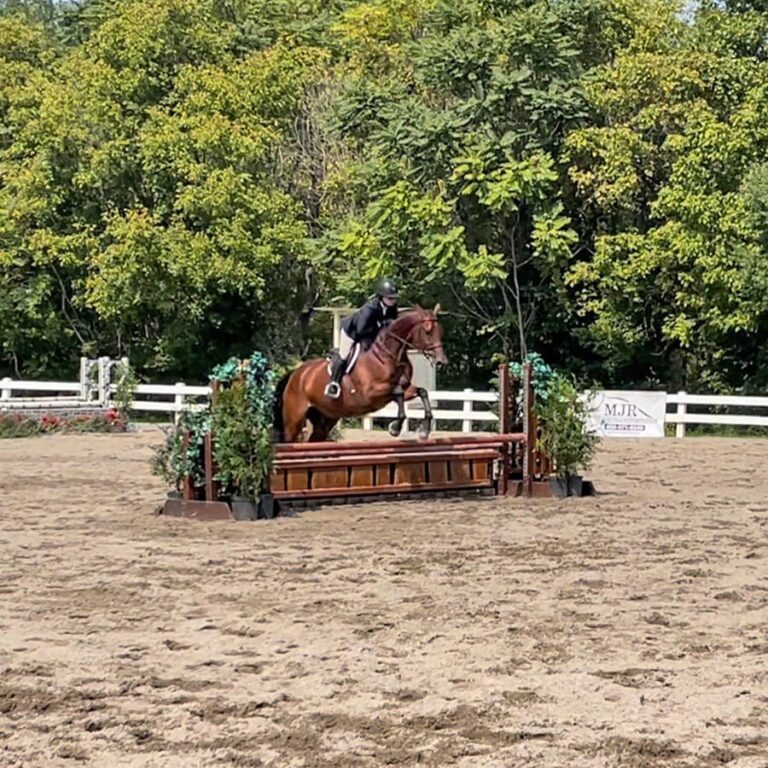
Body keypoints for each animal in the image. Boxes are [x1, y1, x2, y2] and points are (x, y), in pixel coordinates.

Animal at [272, 308, 448, 444]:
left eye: (440, 331)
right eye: (428, 331)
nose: (442, 361)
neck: (388, 355)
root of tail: (296, 374)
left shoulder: (405, 388)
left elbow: (422, 392)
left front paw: (424, 431)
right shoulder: (371, 394)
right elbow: (397, 393)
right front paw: (395, 428)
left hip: (325, 419)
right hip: (294, 419)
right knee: (288, 439)